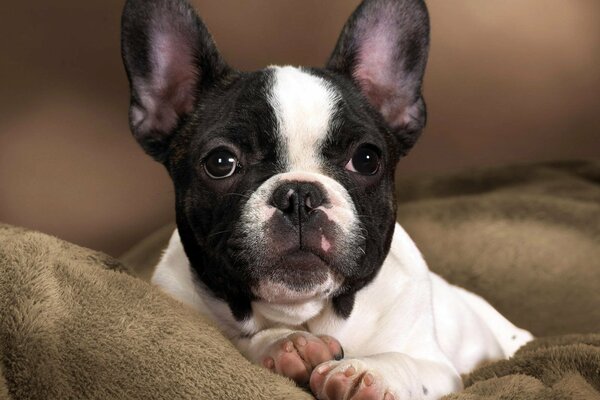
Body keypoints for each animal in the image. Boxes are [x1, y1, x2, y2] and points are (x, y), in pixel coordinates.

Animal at [122, 1, 536, 398]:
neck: (309, 312)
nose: (299, 196)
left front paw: (369, 372)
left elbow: (406, 363)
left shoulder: (439, 368)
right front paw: (285, 345)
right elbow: (246, 341)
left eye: (366, 159)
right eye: (221, 163)